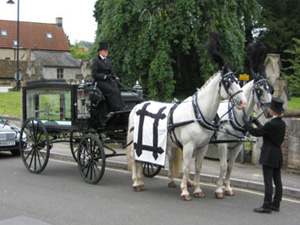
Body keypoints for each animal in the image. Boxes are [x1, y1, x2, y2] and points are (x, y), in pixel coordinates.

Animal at [126, 68, 246, 199]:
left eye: (238, 81)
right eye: (228, 83)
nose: (243, 102)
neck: (197, 113)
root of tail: (138, 105)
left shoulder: (203, 147)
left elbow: (198, 167)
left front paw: (197, 189)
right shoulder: (189, 146)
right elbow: (187, 167)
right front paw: (185, 191)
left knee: (140, 159)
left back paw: (141, 182)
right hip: (137, 141)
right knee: (134, 157)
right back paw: (136, 182)